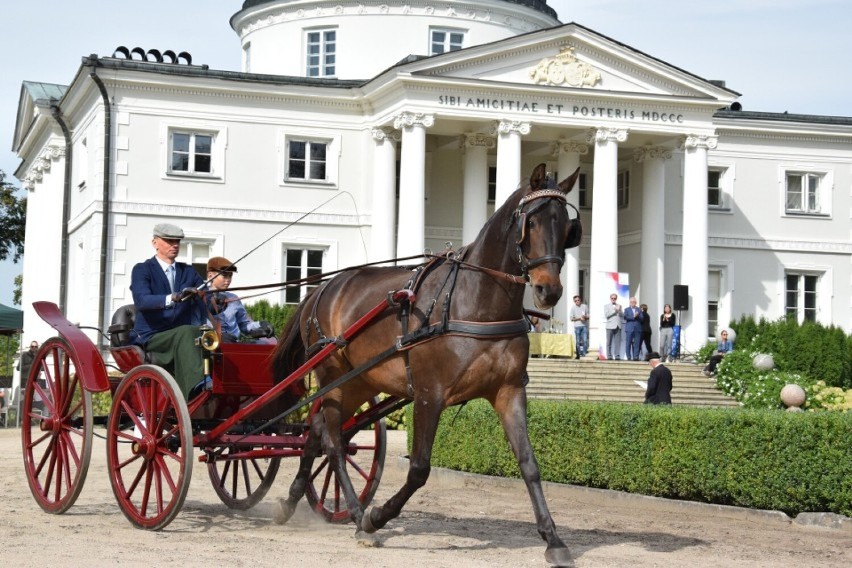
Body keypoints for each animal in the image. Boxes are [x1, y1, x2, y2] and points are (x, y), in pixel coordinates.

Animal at [270, 162, 584, 564]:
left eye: (567, 227)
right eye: (530, 222)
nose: (550, 290)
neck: (476, 301)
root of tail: (323, 288)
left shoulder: (509, 391)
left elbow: (529, 464)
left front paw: (553, 539)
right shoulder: (428, 394)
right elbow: (419, 469)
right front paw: (377, 516)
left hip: (358, 383)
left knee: (318, 432)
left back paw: (295, 501)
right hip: (333, 375)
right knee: (334, 442)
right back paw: (359, 516)